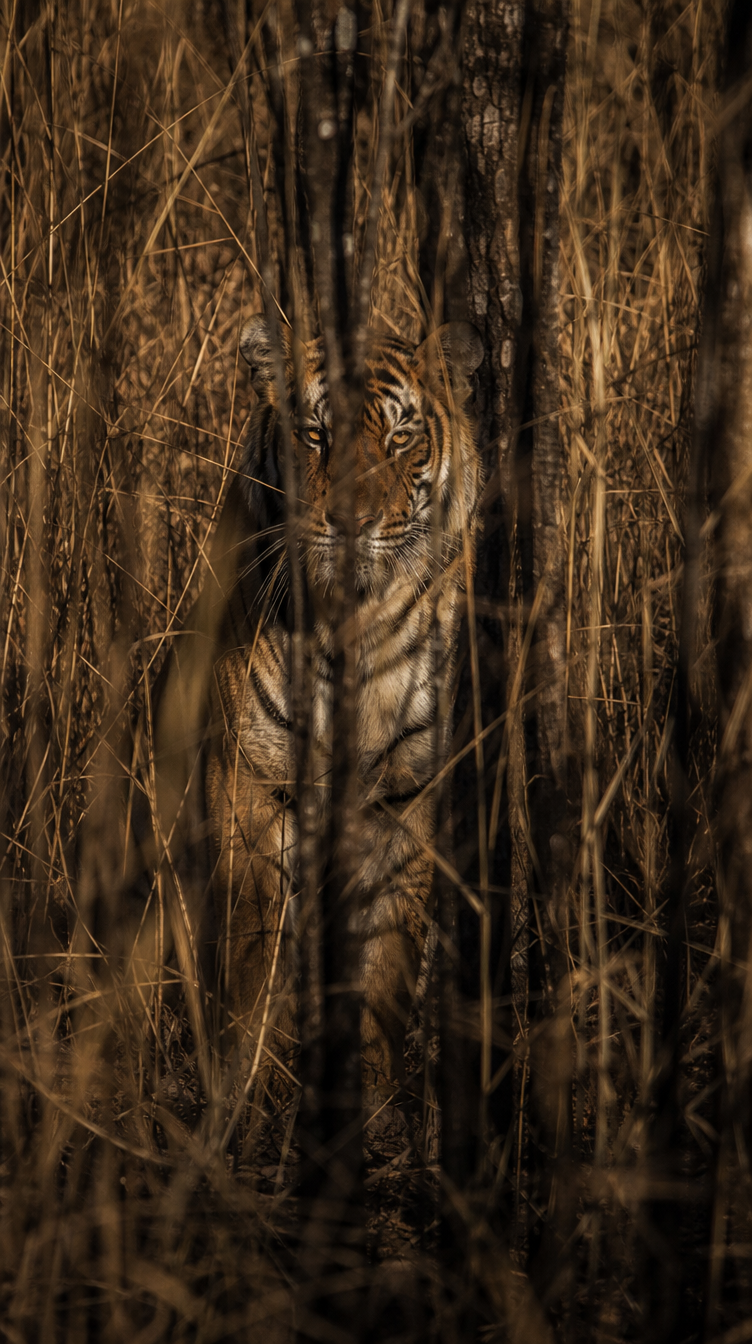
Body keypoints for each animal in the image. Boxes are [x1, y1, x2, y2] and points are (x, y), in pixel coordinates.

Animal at [203, 315, 484, 1104]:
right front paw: (250, 1088)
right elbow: (254, 955)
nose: (352, 522)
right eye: (315, 434)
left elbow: (386, 957)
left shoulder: (405, 796)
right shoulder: (254, 785)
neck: (348, 624)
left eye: (401, 439)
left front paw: (375, 1098)